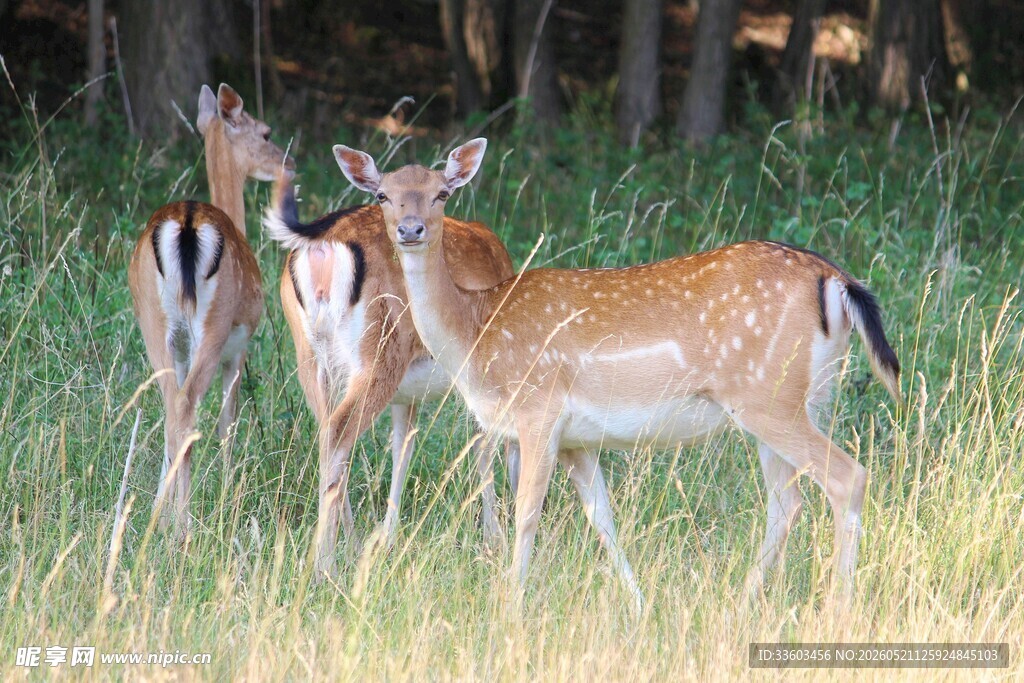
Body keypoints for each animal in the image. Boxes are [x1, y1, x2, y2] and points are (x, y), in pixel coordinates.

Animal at [128, 83, 294, 534]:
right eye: (266, 132)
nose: (289, 163)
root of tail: (186, 221)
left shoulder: (184, 349)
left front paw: (163, 508)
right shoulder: (240, 345)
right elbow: (227, 424)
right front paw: (227, 494)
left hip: (154, 323)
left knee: (172, 407)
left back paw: (161, 518)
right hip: (215, 324)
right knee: (187, 410)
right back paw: (183, 526)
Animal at [263, 155, 518, 577]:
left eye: (440, 193)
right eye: (383, 195)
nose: (411, 229)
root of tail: (322, 248)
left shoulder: (407, 396)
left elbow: (403, 448)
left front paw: (389, 535)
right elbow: (485, 447)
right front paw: (494, 538)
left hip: (309, 357)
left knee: (328, 435)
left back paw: (347, 545)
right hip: (379, 353)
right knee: (339, 434)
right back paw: (324, 564)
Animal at [326, 137, 901, 609]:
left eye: (442, 193)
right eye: (385, 195)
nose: (410, 230)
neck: (479, 330)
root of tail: (837, 281)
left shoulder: (539, 410)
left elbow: (527, 514)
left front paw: (510, 608)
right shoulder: (577, 439)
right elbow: (602, 518)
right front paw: (640, 605)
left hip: (769, 398)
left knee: (846, 479)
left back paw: (837, 609)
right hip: (801, 399)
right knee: (787, 502)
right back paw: (741, 604)